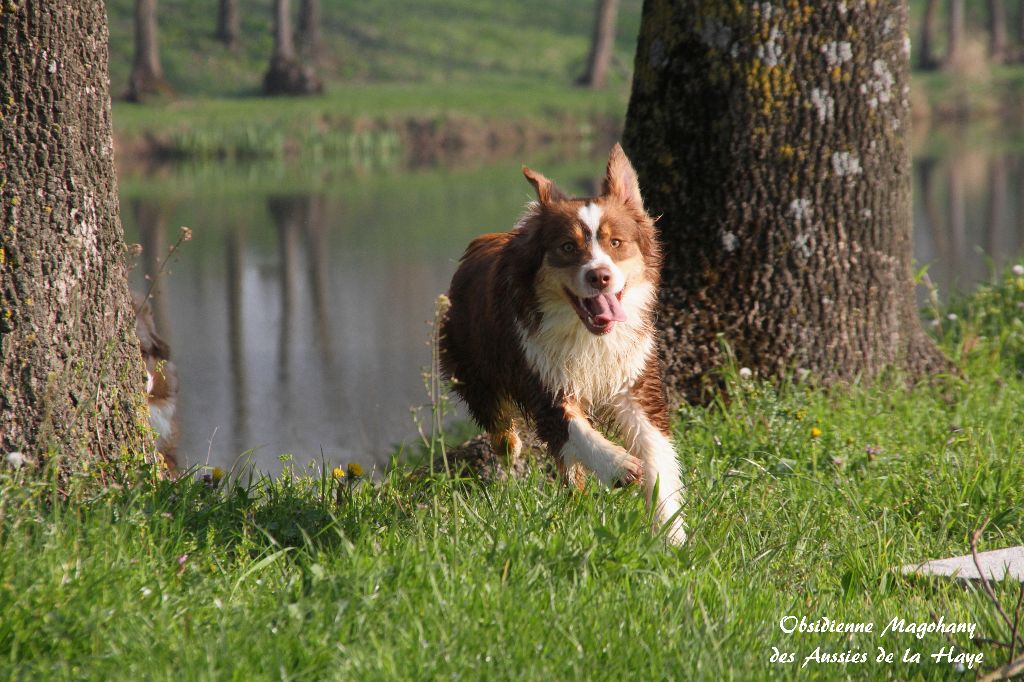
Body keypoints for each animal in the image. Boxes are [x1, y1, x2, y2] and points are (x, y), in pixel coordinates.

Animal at [438, 143, 684, 540]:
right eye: (568, 247)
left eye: (616, 243)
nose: (599, 276)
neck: (586, 335)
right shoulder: (541, 373)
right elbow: (574, 429)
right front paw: (619, 467)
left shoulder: (634, 377)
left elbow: (656, 451)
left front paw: (671, 534)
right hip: (471, 361)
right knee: (502, 427)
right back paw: (517, 451)